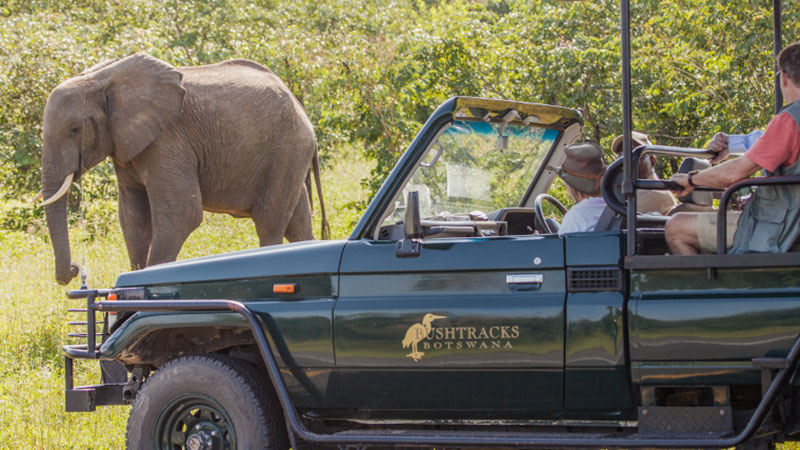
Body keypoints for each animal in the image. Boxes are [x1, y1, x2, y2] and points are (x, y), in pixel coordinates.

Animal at [38, 52, 328, 284]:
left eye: (74, 130)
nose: (75, 269)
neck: (101, 78)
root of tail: (300, 106)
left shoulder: (167, 140)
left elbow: (180, 214)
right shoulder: (126, 146)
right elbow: (132, 218)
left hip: (287, 148)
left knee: (269, 223)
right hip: (289, 155)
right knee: (298, 223)